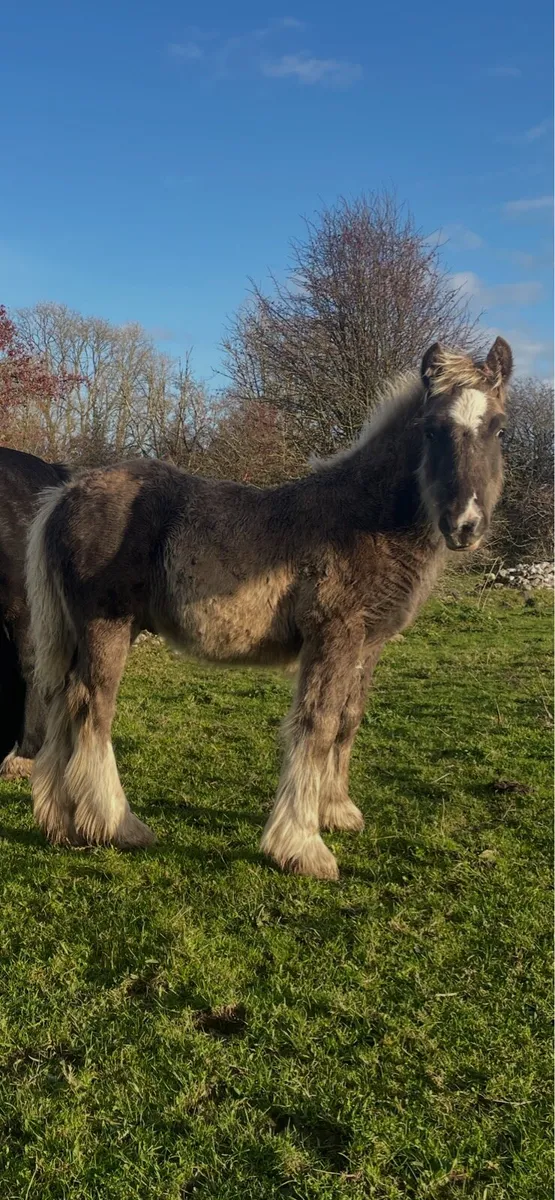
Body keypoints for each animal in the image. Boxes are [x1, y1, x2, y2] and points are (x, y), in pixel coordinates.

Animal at [26, 337, 512, 878]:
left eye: (499, 428)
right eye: (431, 429)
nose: (465, 524)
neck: (366, 519)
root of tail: (66, 492)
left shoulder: (369, 644)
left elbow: (348, 720)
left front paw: (336, 811)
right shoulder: (333, 634)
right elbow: (317, 725)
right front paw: (301, 845)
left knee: (63, 705)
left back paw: (60, 823)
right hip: (107, 627)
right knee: (92, 707)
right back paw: (117, 826)